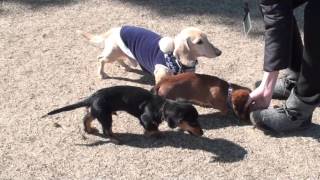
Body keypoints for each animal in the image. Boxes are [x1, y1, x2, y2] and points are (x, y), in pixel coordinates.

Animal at [42, 85, 202, 143]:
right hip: (106, 116)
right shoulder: (145, 117)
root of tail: (92, 97)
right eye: (193, 122)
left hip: (98, 112)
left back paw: (89, 129)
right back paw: (115, 139)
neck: (161, 106)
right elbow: (152, 127)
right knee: (106, 131)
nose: (202, 133)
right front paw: (155, 134)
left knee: (86, 118)